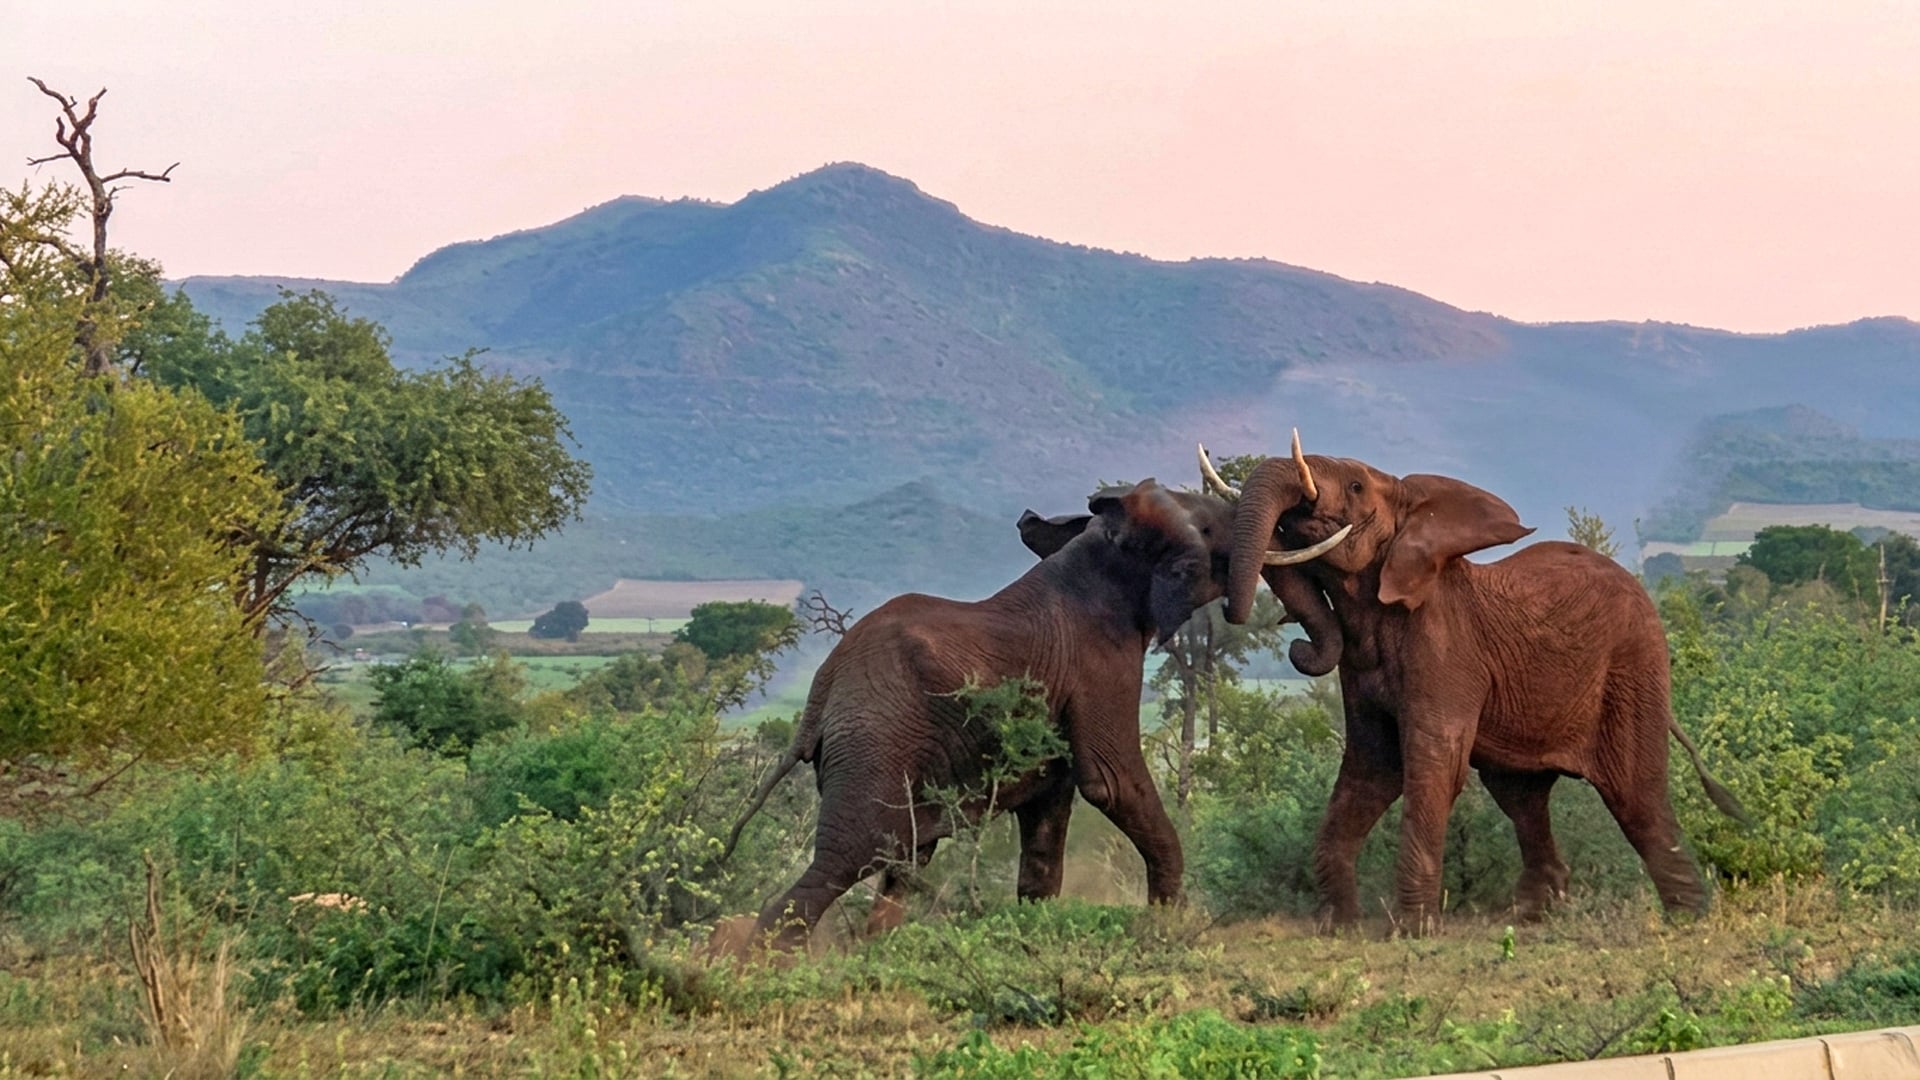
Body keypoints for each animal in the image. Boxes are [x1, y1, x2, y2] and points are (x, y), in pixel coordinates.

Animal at [720, 478, 1341, 950]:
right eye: (1208, 531)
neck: (1099, 544)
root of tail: (822, 692)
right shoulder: (1100, 662)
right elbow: (1112, 782)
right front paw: (1169, 925)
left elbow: (1047, 832)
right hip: (876, 735)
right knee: (851, 856)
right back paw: (765, 963)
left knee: (905, 859)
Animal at [1205, 434, 1746, 932]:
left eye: (1356, 486)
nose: (1297, 648)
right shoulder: (1360, 672)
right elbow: (1371, 768)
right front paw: (1339, 927)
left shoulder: (1446, 652)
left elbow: (1434, 766)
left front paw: (1413, 932)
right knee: (1521, 797)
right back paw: (1533, 914)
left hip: (1632, 668)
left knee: (1636, 795)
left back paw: (1687, 918)